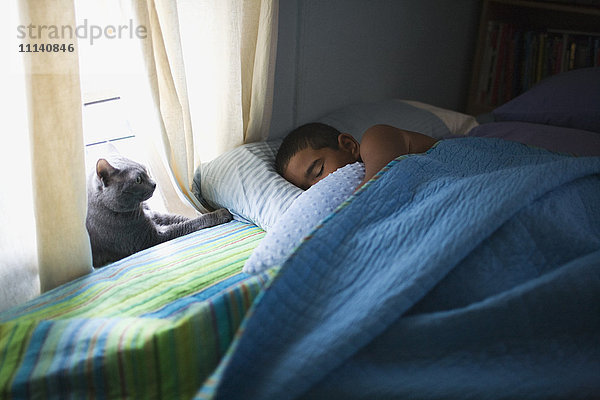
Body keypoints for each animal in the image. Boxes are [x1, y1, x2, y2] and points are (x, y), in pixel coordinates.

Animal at [86, 156, 232, 268]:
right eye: (138, 180)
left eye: (146, 169)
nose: (154, 183)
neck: (138, 210)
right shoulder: (151, 237)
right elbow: (188, 224)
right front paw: (221, 214)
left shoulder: (154, 216)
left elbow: (180, 218)